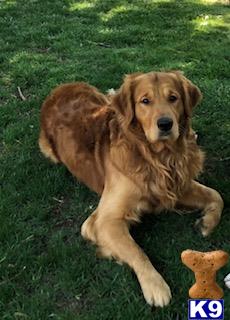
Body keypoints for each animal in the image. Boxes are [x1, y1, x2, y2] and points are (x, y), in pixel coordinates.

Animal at [38, 71, 224, 306]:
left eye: (173, 98)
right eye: (145, 101)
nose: (165, 124)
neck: (157, 157)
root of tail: (60, 87)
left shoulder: (177, 187)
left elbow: (217, 195)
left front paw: (206, 223)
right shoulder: (102, 221)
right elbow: (136, 251)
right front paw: (155, 285)